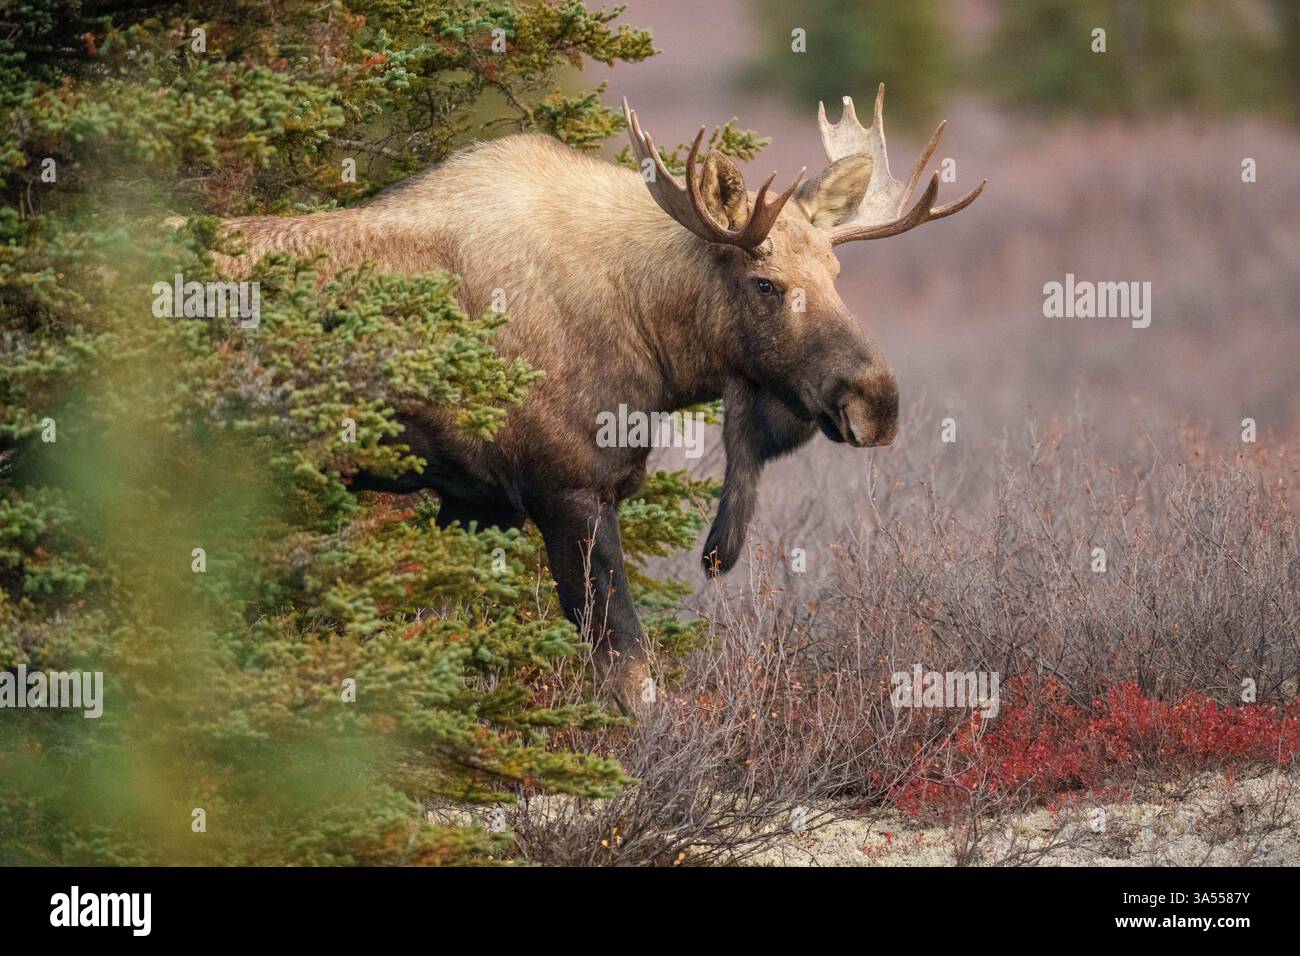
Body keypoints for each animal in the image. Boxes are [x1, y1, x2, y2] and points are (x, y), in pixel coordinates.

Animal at [210, 85, 984, 713]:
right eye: (765, 284)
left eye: (836, 273)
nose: (876, 401)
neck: (651, 346)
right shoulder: (568, 490)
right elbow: (633, 676)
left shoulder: (474, 500)